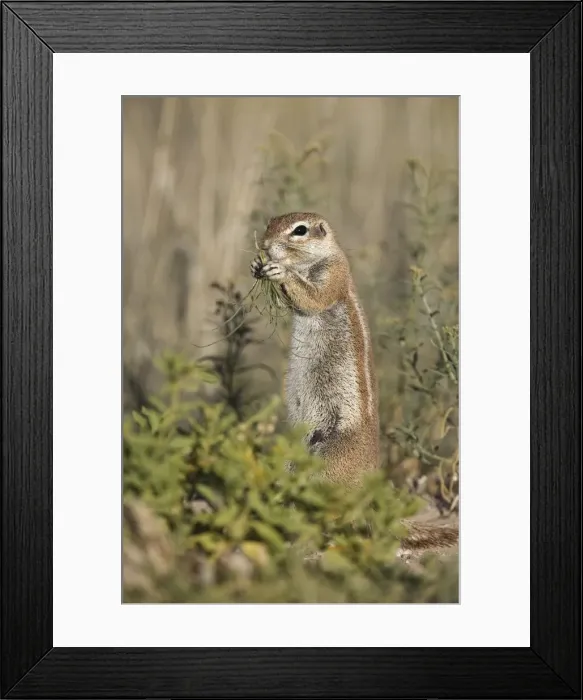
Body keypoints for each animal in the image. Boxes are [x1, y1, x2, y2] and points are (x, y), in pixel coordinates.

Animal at [251, 212, 379, 485]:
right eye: (270, 223)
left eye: (300, 230)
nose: (265, 245)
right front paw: (257, 264)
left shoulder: (334, 273)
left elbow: (314, 297)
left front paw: (280, 271)